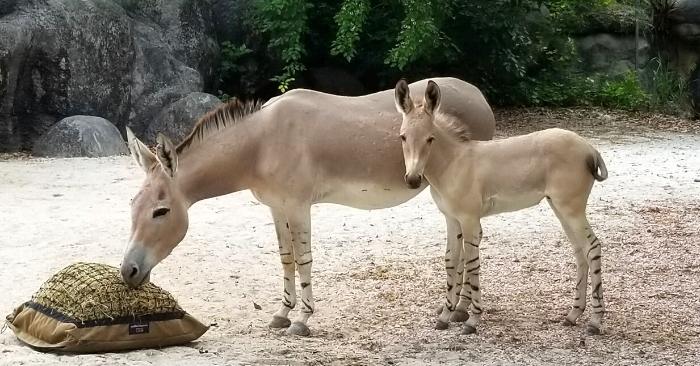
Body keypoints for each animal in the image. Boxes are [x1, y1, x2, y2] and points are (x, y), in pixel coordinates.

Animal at [396, 80, 608, 334]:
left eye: (430, 139)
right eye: (403, 137)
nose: (412, 180)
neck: (453, 164)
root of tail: (590, 148)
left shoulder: (469, 219)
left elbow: (471, 262)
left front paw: (472, 320)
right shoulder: (451, 218)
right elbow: (451, 261)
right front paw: (445, 316)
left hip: (571, 208)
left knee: (593, 246)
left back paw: (595, 321)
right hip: (560, 208)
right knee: (580, 250)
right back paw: (573, 315)